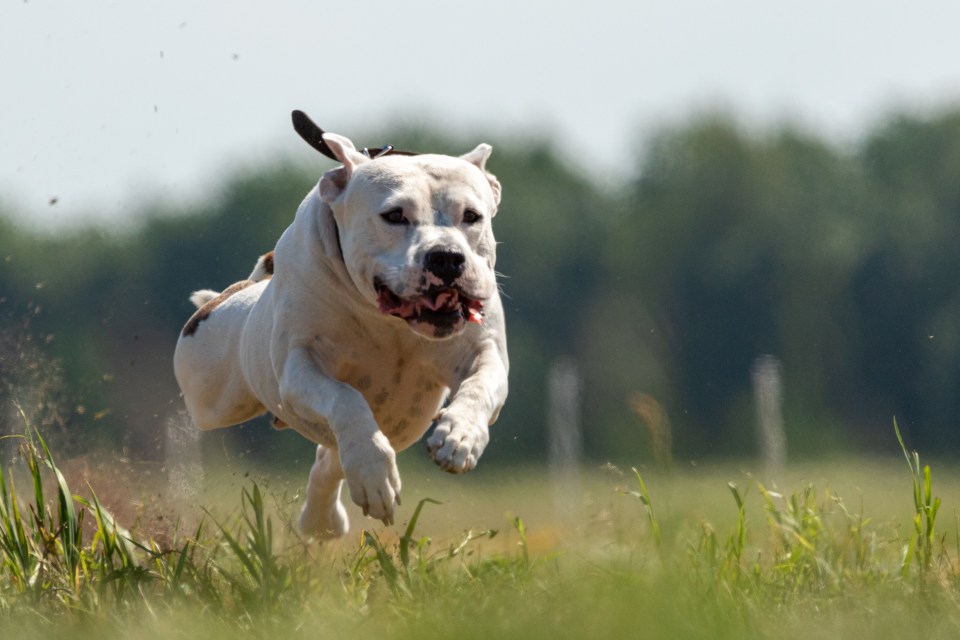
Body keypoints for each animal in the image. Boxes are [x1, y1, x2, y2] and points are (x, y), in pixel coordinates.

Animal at [176, 117, 512, 536]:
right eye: (395, 215)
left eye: (471, 216)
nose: (446, 257)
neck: (389, 320)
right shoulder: (300, 367)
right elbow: (345, 399)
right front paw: (373, 472)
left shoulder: (483, 350)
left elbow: (481, 385)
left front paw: (460, 435)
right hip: (208, 393)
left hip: (402, 422)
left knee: (331, 458)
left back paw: (322, 520)